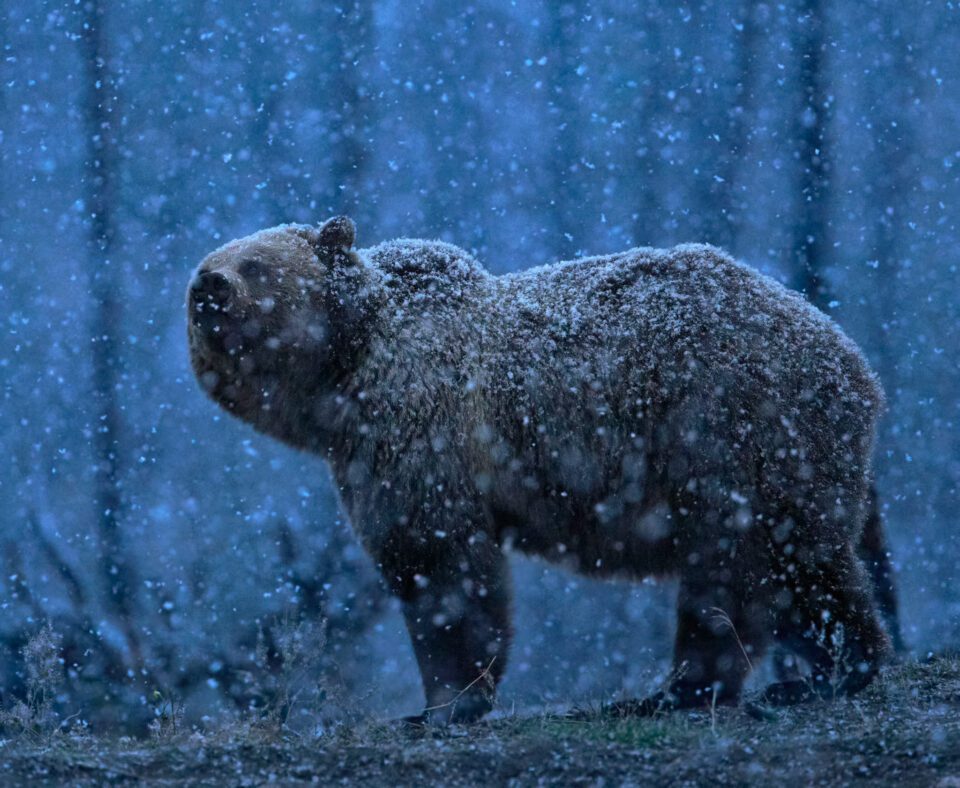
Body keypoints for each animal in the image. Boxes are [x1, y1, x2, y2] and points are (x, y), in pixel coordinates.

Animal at [188, 217, 892, 728]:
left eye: (255, 264)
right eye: (206, 263)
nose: (209, 288)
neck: (341, 378)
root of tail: (854, 362)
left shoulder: (419, 429)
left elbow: (440, 570)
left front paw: (442, 705)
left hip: (730, 427)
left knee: (749, 564)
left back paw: (726, 685)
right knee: (787, 570)